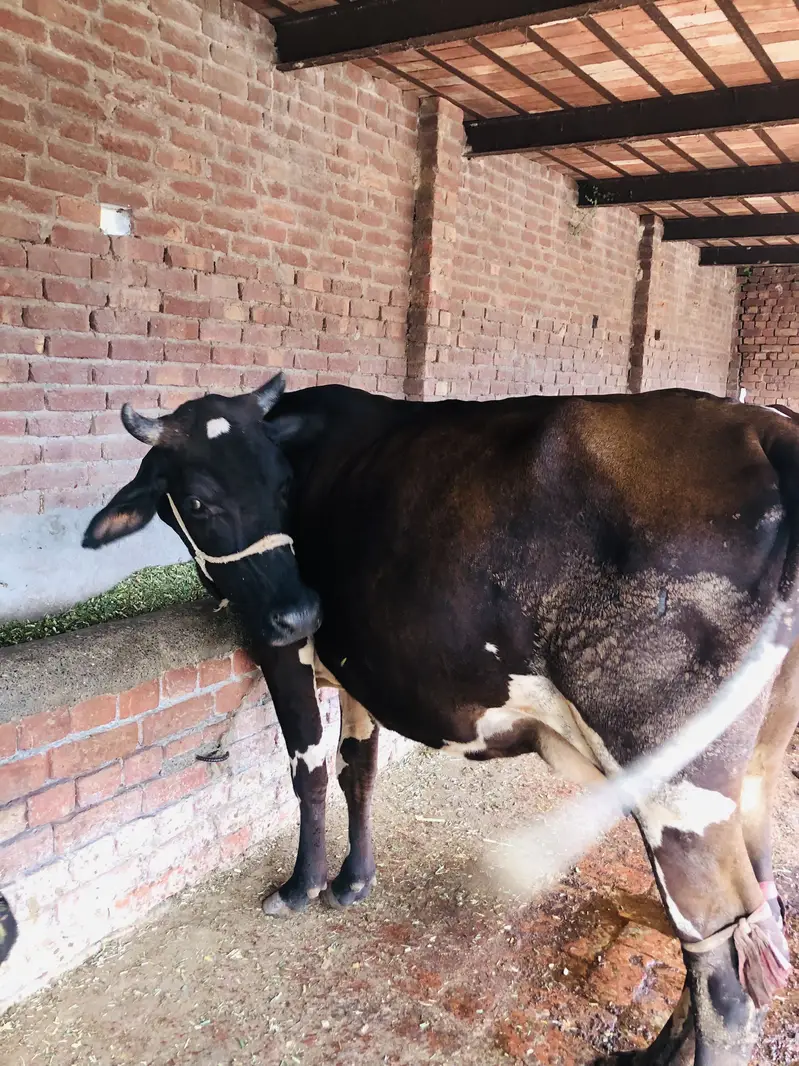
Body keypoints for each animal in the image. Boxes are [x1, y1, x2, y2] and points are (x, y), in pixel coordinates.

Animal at [83, 374, 799, 1066]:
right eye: (198, 500)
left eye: (282, 485)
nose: (300, 610)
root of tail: (763, 425)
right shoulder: (359, 668)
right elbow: (358, 769)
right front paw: (354, 880)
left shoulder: (281, 651)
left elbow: (308, 769)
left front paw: (301, 886)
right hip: (753, 769)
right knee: (759, 920)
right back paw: (650, 1054)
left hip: (676, 781)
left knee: (725, 970)